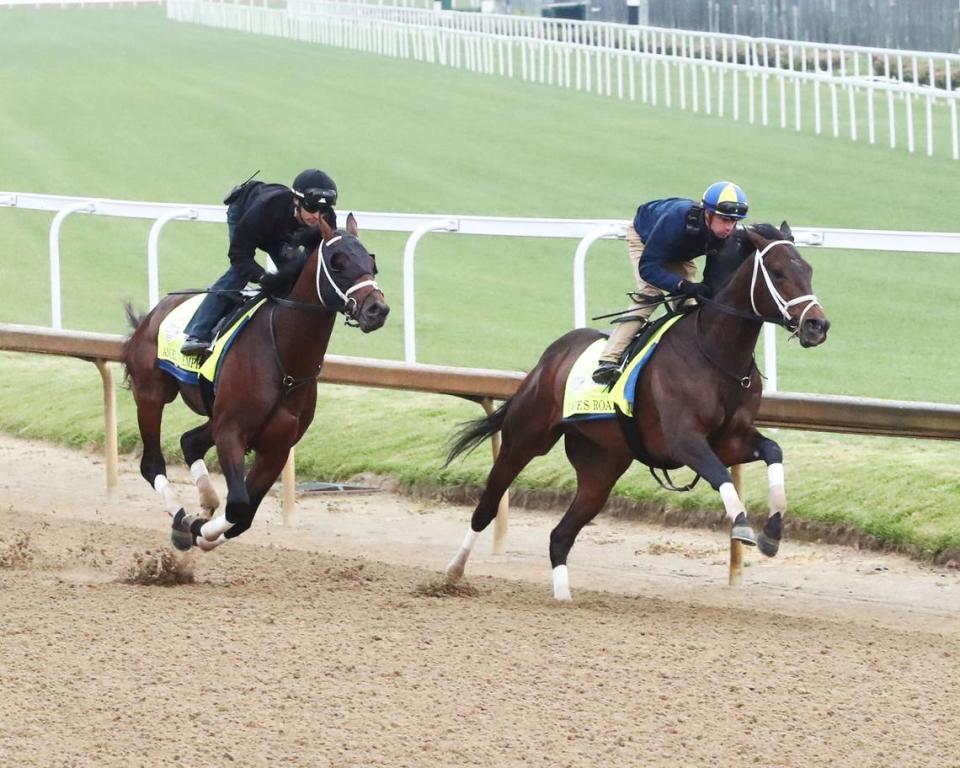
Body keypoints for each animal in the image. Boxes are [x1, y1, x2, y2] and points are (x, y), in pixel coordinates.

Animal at [123, 213, 386, 548]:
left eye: (371, 262)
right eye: (337, 263)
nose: (377, 309)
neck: (285, 362)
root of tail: (153, 314)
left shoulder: (277, 447)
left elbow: (243, 516)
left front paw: (204, 527)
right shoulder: (230, 431)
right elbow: (238, 504)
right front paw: (196, 529)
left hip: (215, 414)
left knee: (190, 442)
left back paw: (204, 503)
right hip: (151, 393)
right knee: (152, 464)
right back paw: (182, 516)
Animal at [446, 222, 828, 600]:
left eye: (809, 270)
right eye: (778, 272)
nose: (817, 326)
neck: (715, 353)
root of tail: (548, 359)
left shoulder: (729, 439)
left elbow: (773, 451)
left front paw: (773, 530)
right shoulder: (683, 441)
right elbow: (721, 475)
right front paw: (743, 525)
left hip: (601, 467)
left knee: (560, 536)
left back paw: (563, 597)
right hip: (524, 439)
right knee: (487, 507)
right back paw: (453, 573)